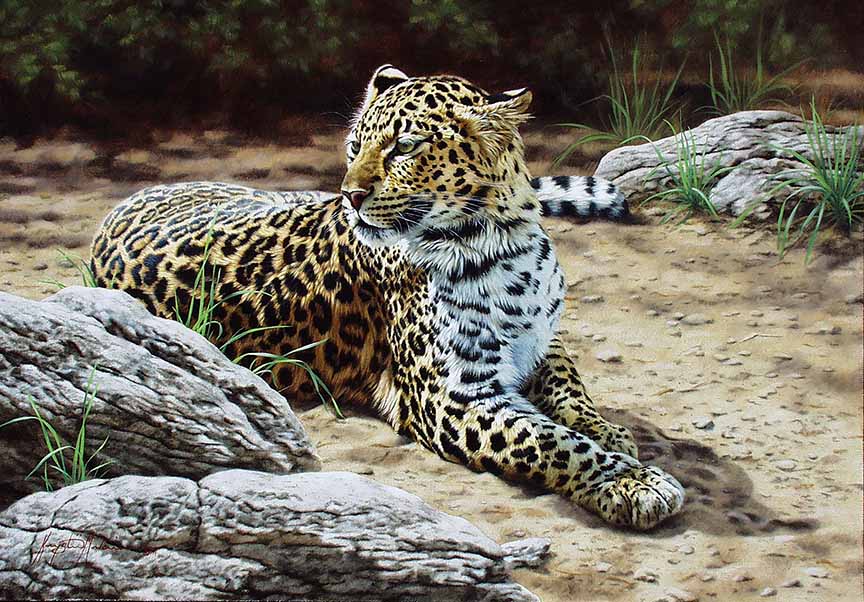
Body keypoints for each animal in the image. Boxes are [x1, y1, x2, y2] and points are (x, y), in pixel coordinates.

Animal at [90, 65, 684, 530]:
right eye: (355, 147)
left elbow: (569, 389)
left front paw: (609, 430)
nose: (349, 195)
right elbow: (549, 441)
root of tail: (132, 198)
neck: (506, 242)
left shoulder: (541, 341)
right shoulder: (454, 398)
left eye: (404, 147)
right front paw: (633, 484)